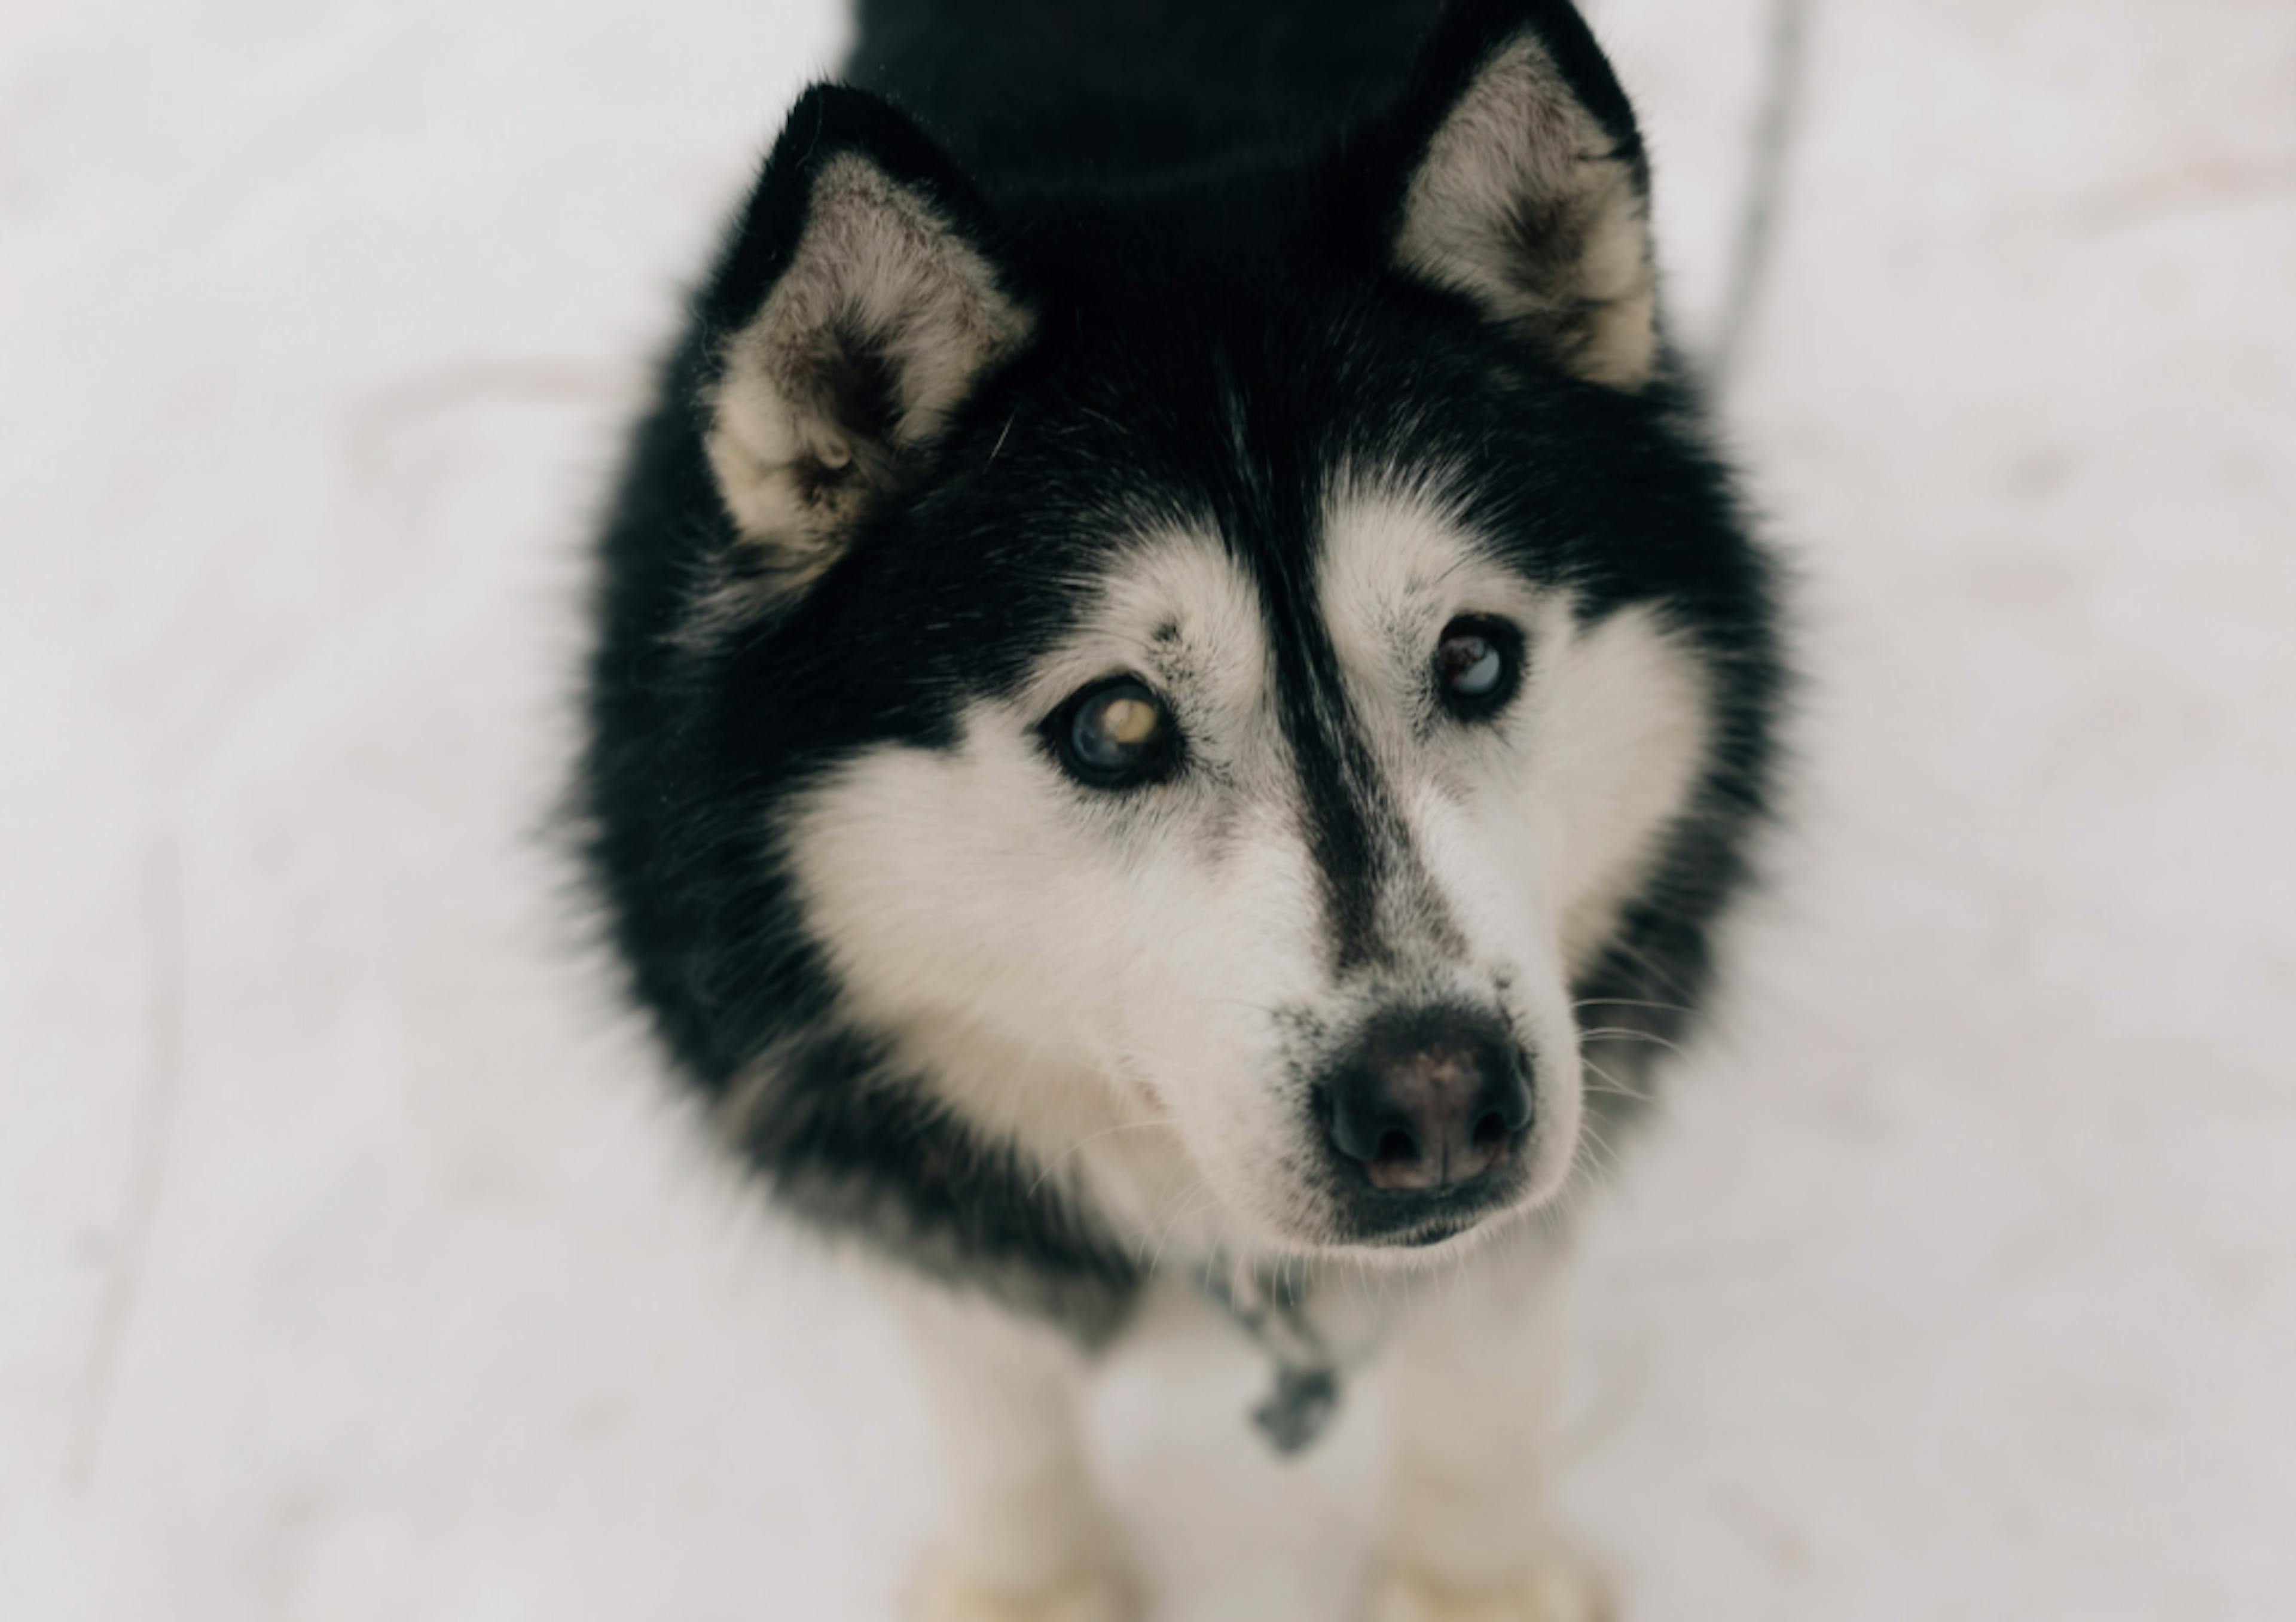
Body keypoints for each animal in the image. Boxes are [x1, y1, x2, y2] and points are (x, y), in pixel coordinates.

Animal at [574, 0, 1772, 1608]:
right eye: (1116, 723)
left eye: (1472, 654)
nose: (1440, 1099)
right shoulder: (905, 1192)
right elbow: (996, 1401)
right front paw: (1032, 1586)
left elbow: (1484, 1369)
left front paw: (1470, 1582)